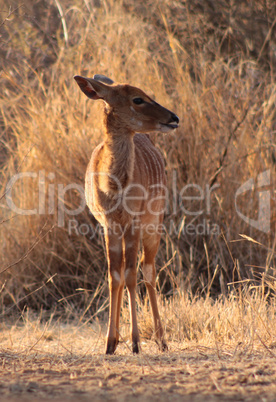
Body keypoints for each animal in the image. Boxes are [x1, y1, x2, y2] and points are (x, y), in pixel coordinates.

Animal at [73, 74, 179, 354]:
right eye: (138, 99)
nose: (174, 118)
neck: (114, 186)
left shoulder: (133, 222)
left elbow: (132, 275)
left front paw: (135, 342)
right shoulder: (109, 224)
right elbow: (115, 276)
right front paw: (111, 342)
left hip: (154, 224)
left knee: (148, 270)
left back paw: (162, 340)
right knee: (126, 273)